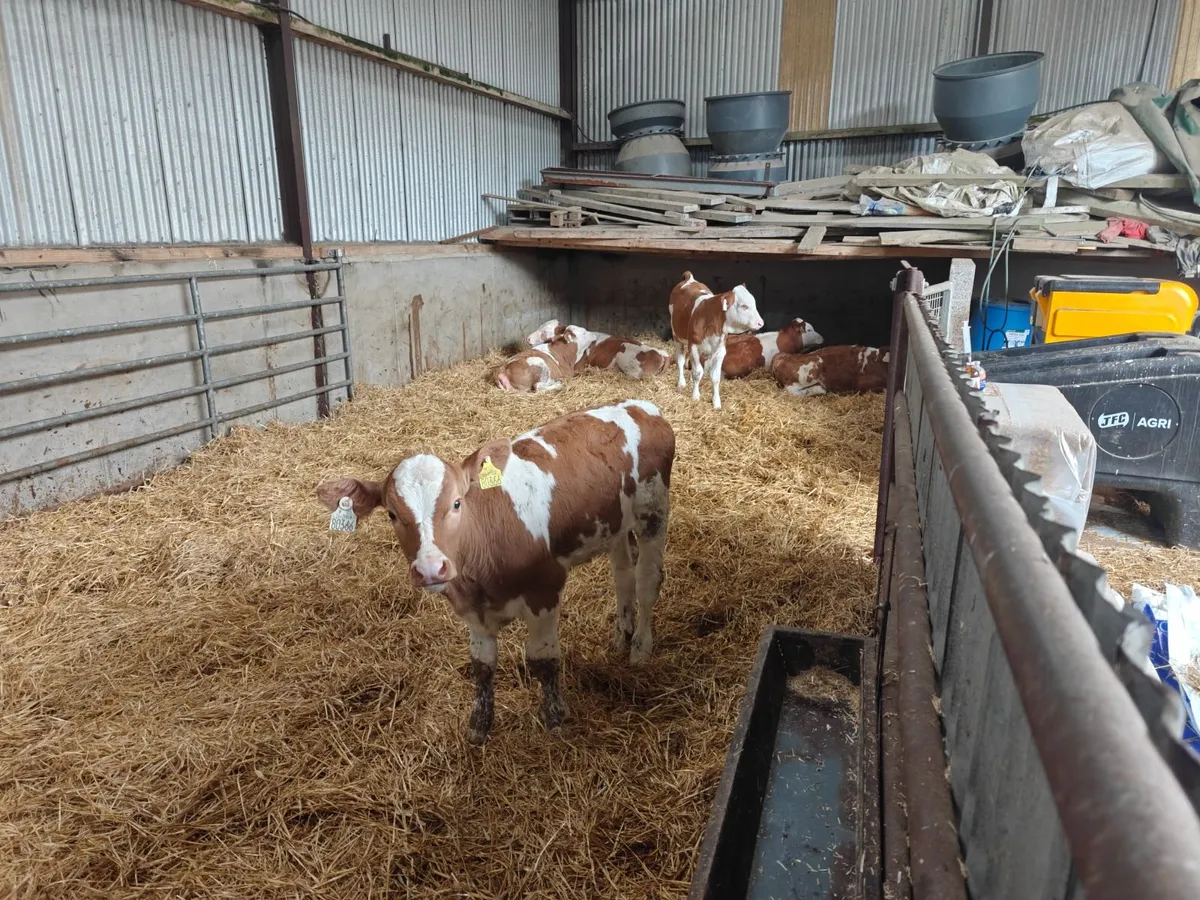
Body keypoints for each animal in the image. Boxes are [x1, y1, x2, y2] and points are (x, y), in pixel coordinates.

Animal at [316, 400, 675, 745]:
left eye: (457, 503)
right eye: (391, 514)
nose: (431, 568)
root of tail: (642, 407)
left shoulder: (545, 590)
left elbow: (544, 660)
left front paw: (555, 720)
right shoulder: (470, 608)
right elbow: (482, 666)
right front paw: (479, 726)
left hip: (653, 512)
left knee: (647, 581)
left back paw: (639, 648)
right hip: (615, 525)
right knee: (623, 575)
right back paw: (620, 636)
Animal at [668, 271, 764, 409]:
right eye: (744, 306)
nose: (761, 323)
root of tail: (690, 278)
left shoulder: (720, 350)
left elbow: (715, 376)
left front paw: (716, 402)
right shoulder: (693, 346)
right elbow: (697, 372)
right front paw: (695, 396)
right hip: (677, 336)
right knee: (680, 360)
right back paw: (681, 382)